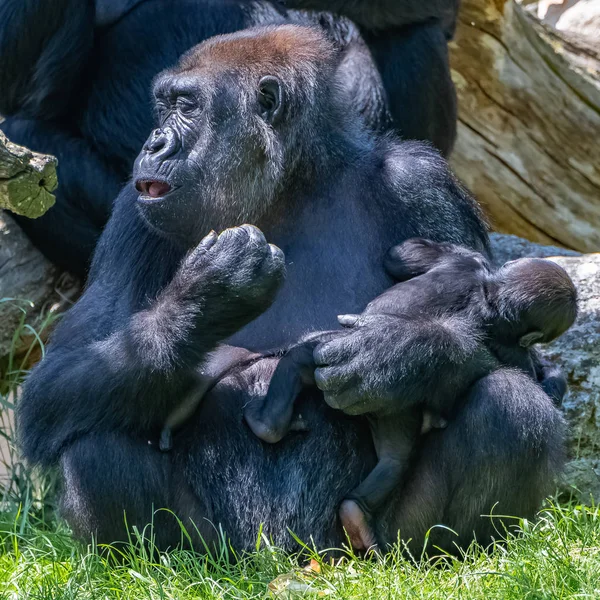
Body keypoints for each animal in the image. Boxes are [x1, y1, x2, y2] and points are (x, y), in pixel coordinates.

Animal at [243, 238, 576, 548]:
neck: (490, 294)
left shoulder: (461, 266)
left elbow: (402, 253)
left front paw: (399, 349)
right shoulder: (505, 334)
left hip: (328, 357)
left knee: (298, 364)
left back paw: (270, 426)